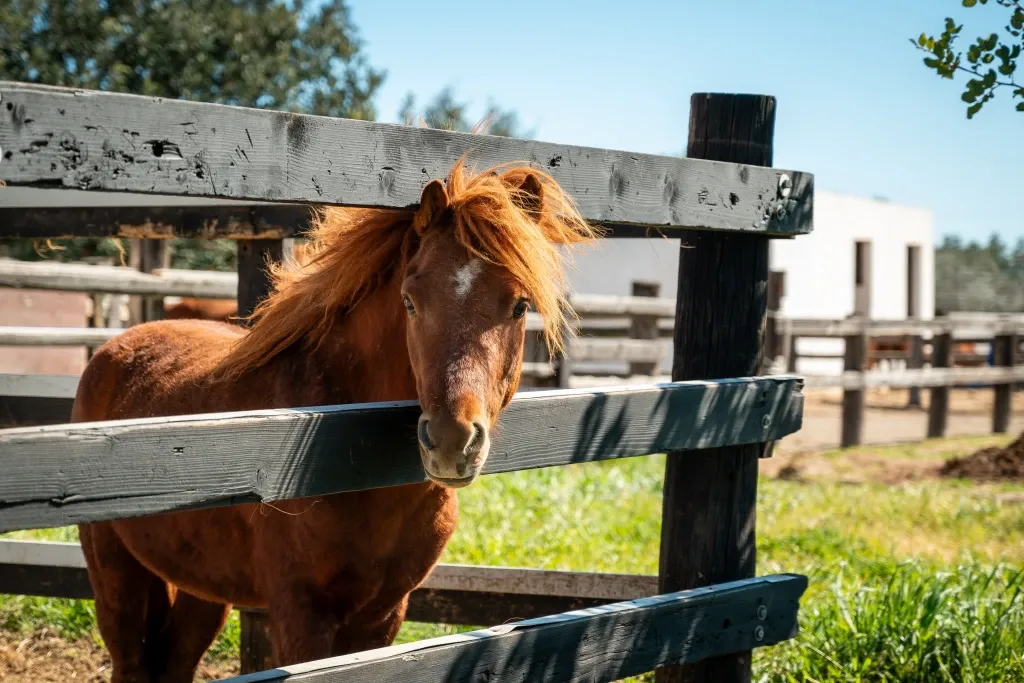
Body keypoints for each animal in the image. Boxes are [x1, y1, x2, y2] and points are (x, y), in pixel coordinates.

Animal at [71, 160, 597, 683]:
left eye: (520, 305)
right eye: (410, 301)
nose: (451, 442)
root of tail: (117, 347)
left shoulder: (383, 614)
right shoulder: (301, 613)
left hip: (201, 586)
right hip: (116, 573)